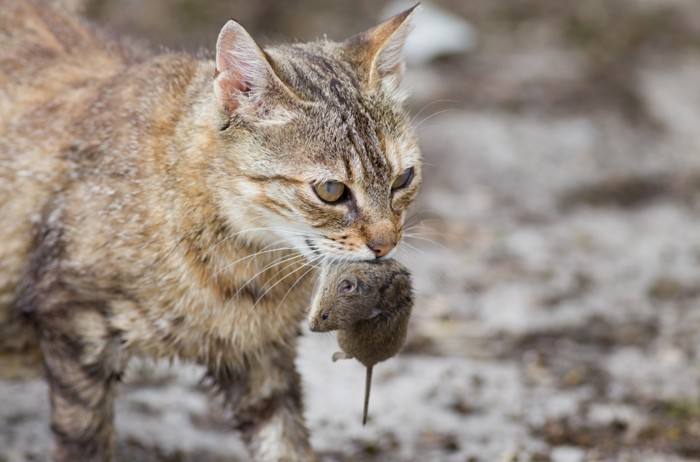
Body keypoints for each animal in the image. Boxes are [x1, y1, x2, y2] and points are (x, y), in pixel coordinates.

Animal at [0, 1, 422, 460]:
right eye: (331, 190)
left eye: (403, 178)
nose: (386, 244)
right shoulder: (75, 322)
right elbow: (85, 441)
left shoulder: (260, 356)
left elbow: (286, 443)